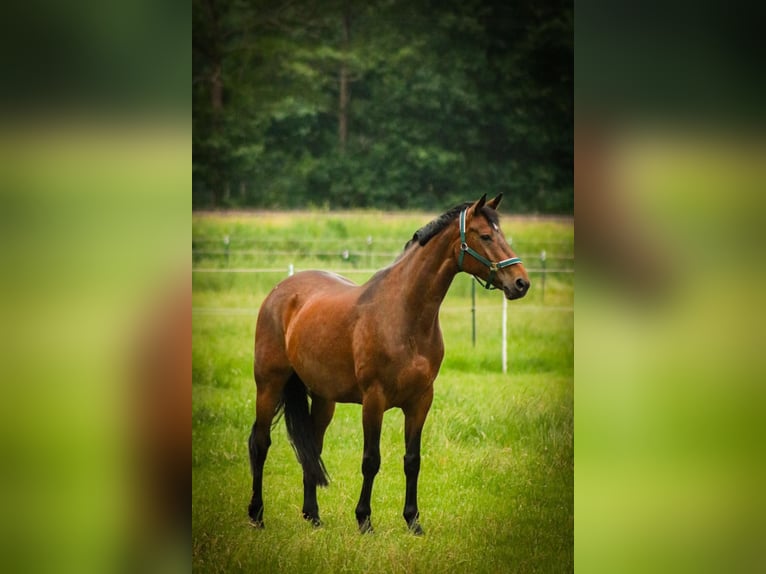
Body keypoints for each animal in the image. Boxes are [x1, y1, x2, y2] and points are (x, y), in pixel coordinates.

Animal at [249, 194, 532, 536]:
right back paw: (257, 515)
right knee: (260, 443)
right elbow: (371, 459)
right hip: (268, 385)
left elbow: (412, 460)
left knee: (312, 450)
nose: (521, 282)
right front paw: (364, 520)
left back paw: (313, 516)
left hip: (323, 398)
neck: (403, 314)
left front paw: (413, 521)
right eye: (486, 236)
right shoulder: (374, 399)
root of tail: (280, 292)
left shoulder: (421, 401)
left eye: (502, 234)